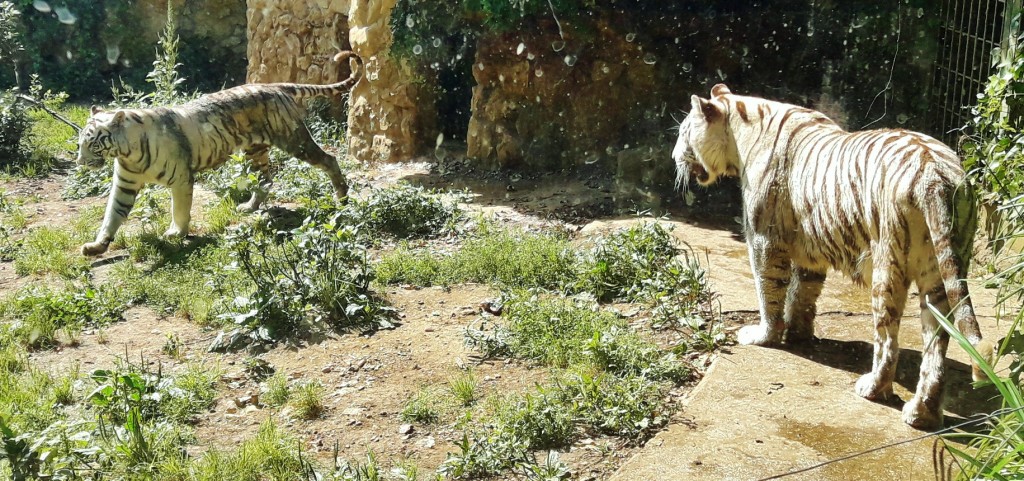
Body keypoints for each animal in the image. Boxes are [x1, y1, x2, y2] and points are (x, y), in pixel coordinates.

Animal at [74, 50, 364, 257]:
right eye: (80, 144)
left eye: (93, 143)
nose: (80, 162)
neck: (127, 152)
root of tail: (277, 86)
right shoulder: (124, 183)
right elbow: (112, 215)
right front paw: (96, 246)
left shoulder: (181, 179)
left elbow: (180, 209)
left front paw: (176, 233)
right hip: (255, 150)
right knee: (266, 180)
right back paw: (249, 207)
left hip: (294, 140)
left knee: (328, 159)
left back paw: (342, 198)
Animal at [671, 82, 991, 427]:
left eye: (683, 132)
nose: (673, 157)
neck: (740, 131)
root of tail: (934, 175)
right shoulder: (809, 249)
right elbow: (803, 293)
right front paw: (797, 332)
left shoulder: (764, 240)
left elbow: (768, 290)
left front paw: (764, 335)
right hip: (939, 277)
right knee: (937, 346)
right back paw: (922, 413)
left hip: (888, 267)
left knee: (887, 341)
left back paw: (873, 388)